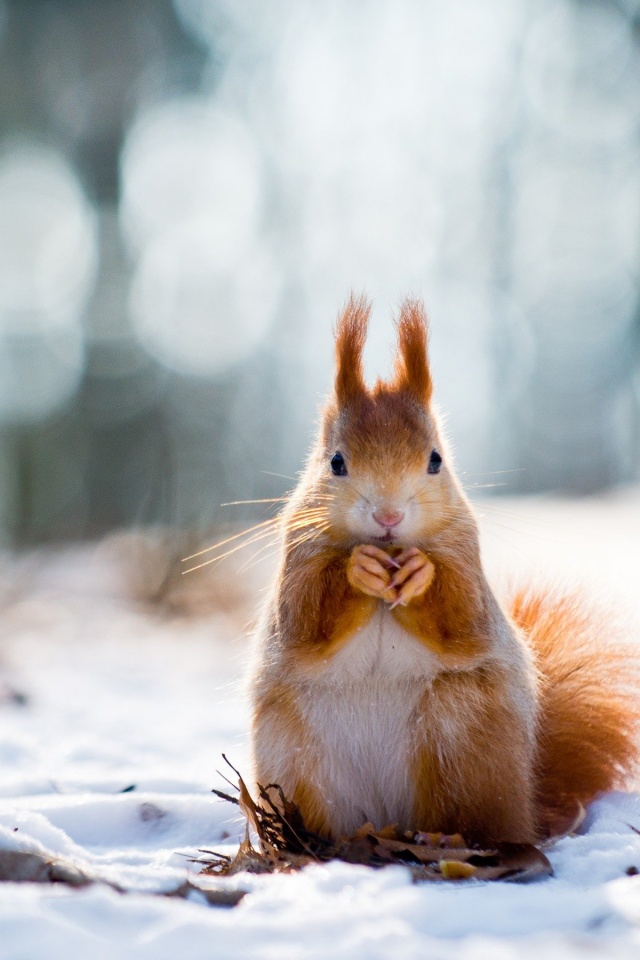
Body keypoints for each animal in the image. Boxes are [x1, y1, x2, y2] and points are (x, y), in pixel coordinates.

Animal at [249, 296, 640, 844]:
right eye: (336, 463)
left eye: (435, 460)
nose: (388, 517)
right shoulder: (298, 557)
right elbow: (305, 619)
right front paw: (357, 569)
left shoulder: (465, 558)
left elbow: (462, 617)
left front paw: (421, 574)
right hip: (294, 756)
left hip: (461, 737)